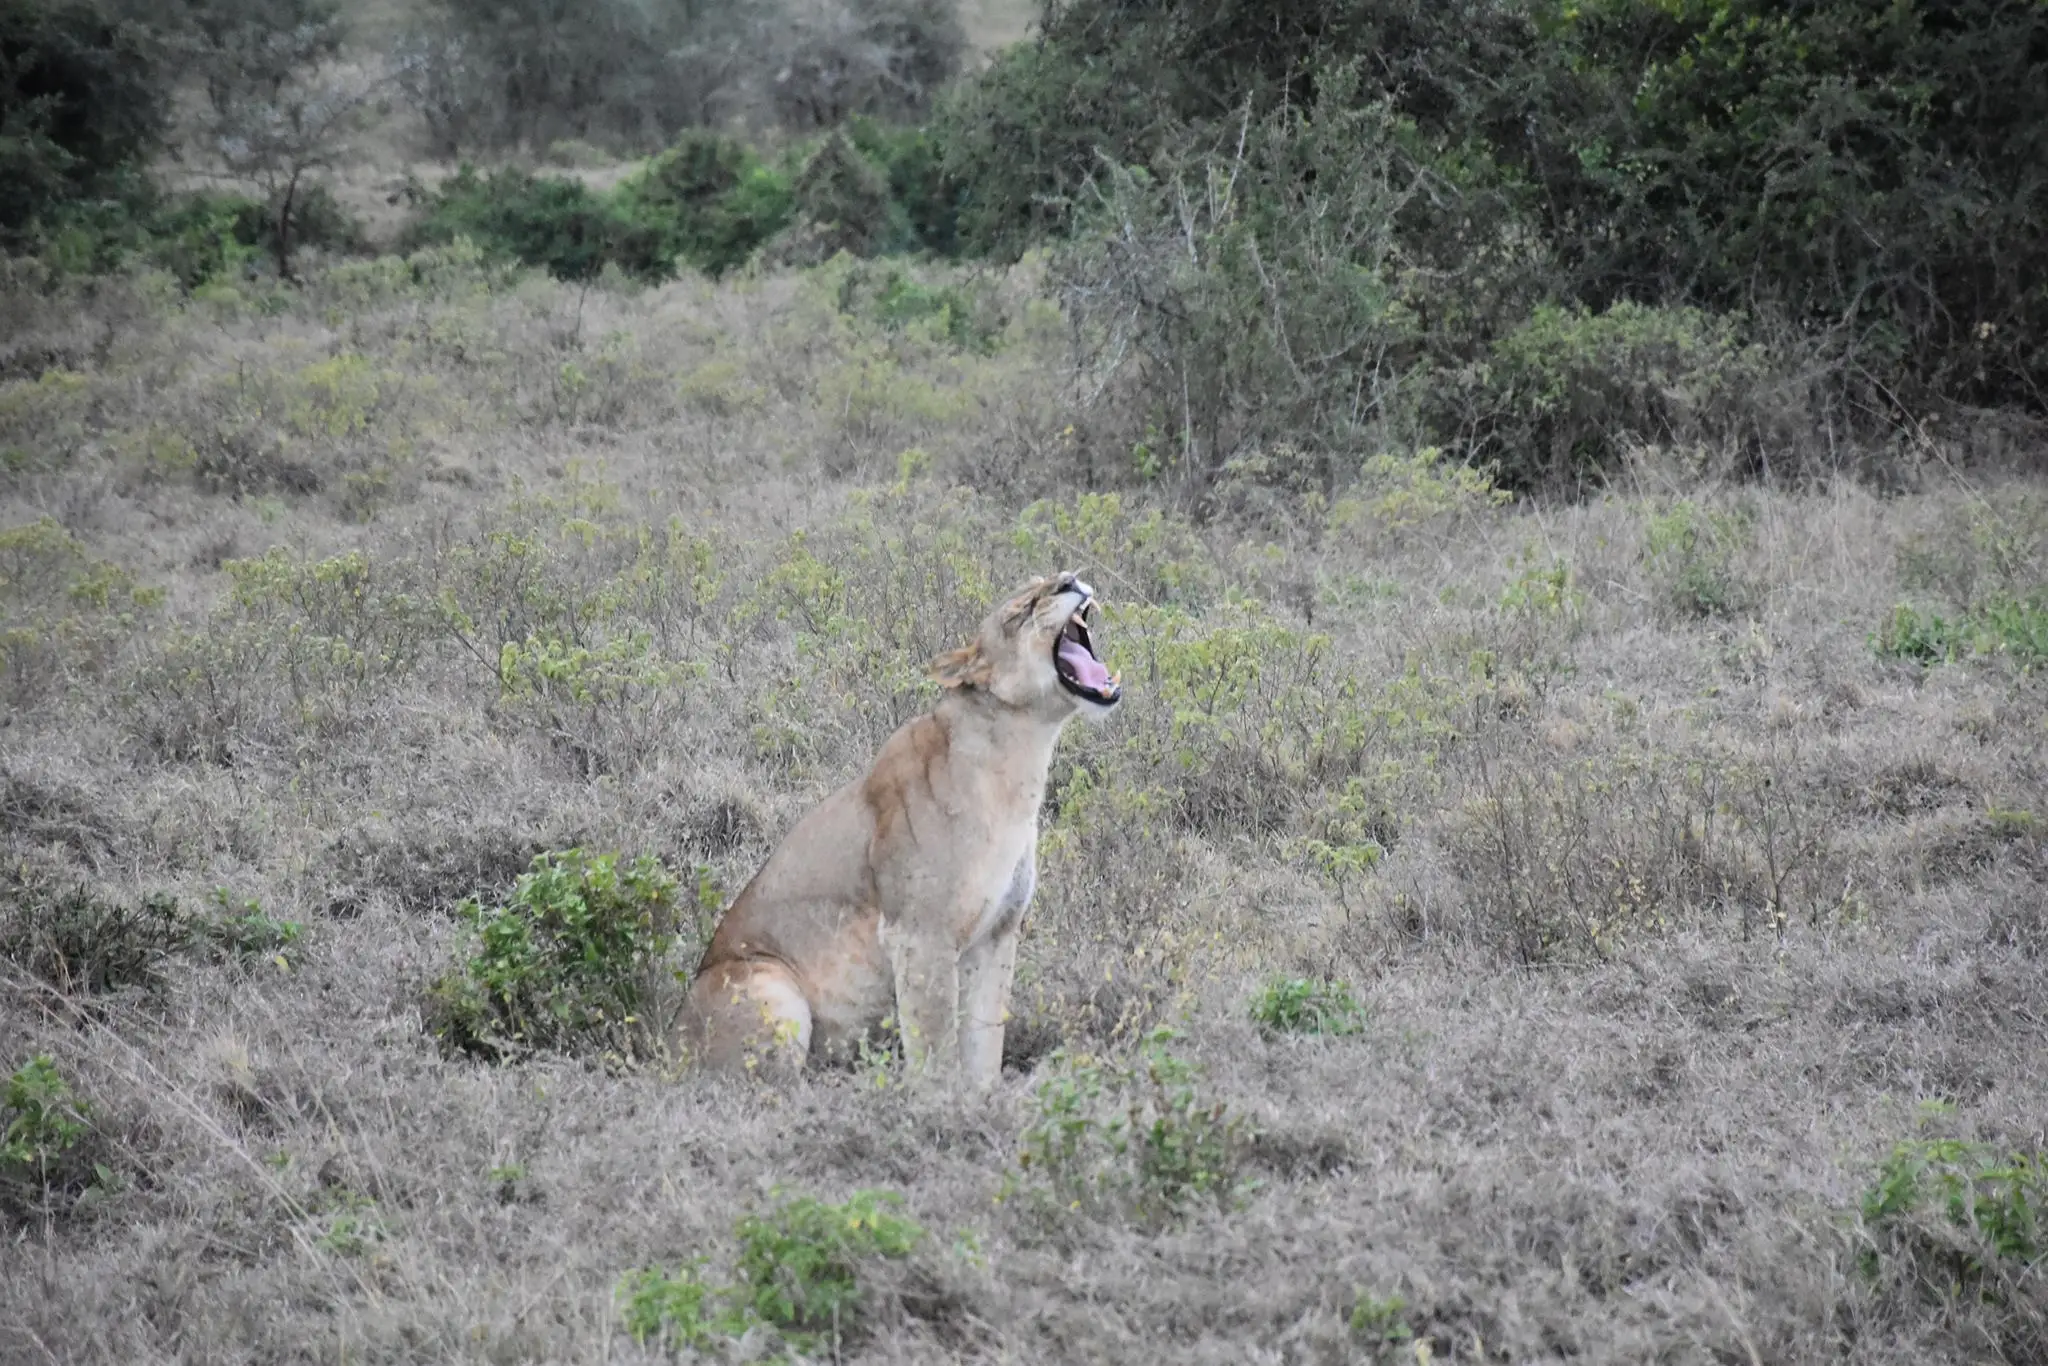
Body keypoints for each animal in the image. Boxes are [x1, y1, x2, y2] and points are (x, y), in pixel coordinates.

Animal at [681, 571, 1122, 1087]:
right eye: (1022, 609)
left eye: (1048, 579)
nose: (1070, 580)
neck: (1020, 761)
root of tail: (663, 1043)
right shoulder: (920, 934)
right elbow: (936, 1049)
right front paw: (945, 1104)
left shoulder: (998, 933)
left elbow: (985, 1040)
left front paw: (987, 1097)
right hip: (771, 986)